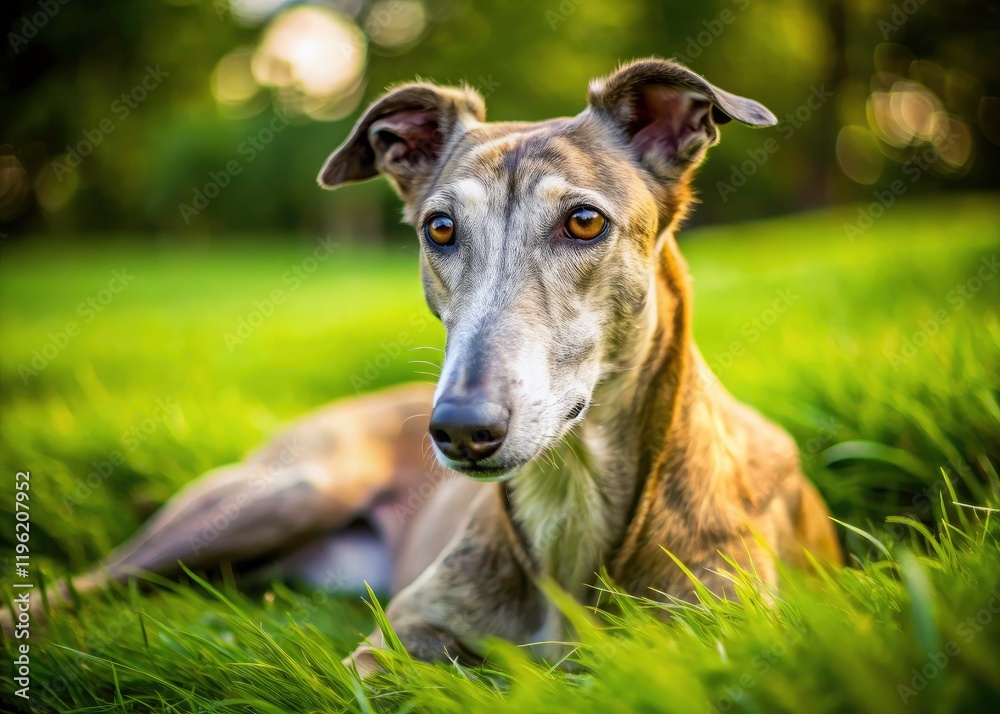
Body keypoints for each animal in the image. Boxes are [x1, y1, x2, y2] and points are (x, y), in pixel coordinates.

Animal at [2, 59, 841, 674]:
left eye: (583, 222)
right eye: (440, 227)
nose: (461, 429)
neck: (570, 506)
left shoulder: (711, 642)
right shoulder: (402, 633)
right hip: (286, 490)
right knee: (85, 581)